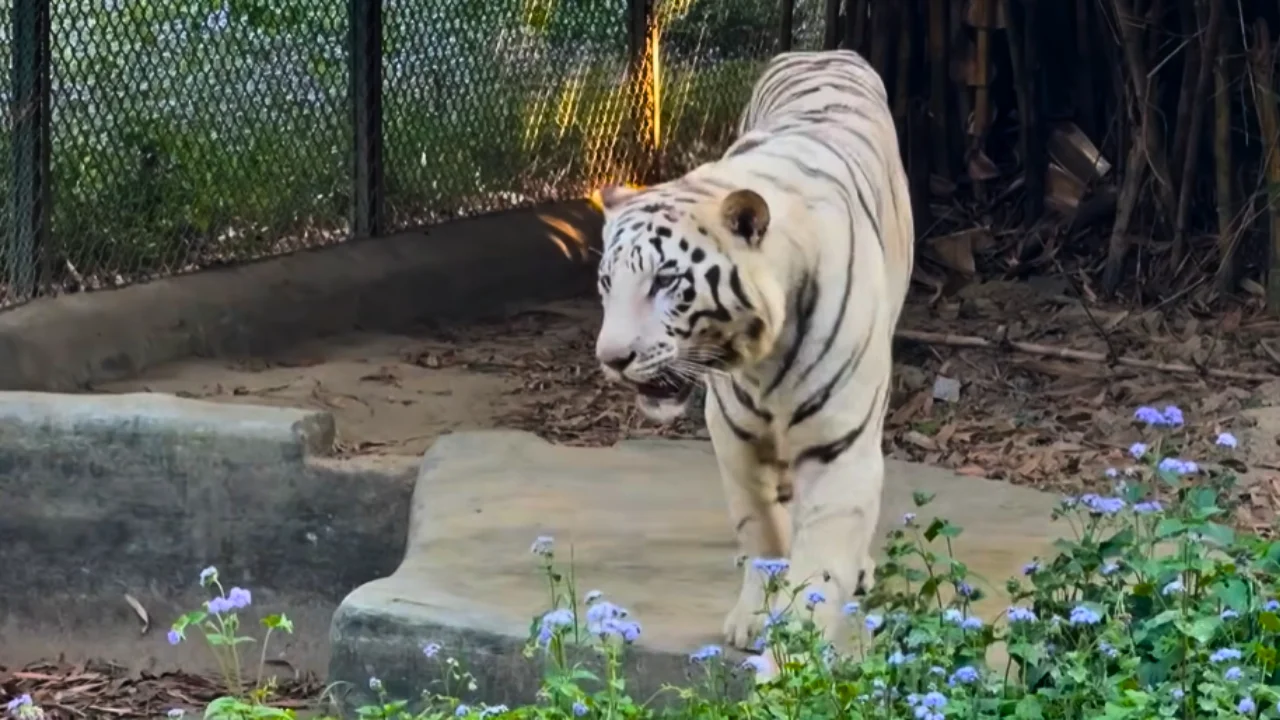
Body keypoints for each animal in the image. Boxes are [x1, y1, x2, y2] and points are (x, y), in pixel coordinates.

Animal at [591, 49, 914, 657]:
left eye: (664, 281)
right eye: (606, 283)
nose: (612, 358)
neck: (765, 354)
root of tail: (826, 51)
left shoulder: (839, 444)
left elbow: (821, 565)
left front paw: (797, 650)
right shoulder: (734, 432)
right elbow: (759, 528)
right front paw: (754, 614)